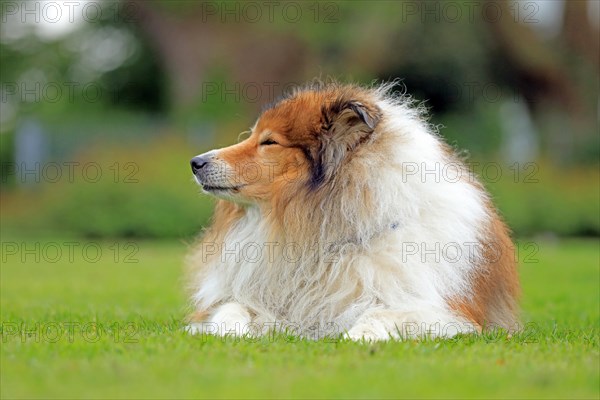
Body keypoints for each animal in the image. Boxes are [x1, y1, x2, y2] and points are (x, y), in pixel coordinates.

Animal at [185, 81, 516, 340]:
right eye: (253, 135)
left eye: (269, 142)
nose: (196, 162)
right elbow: (229, 307)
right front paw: (228, 331)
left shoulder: (445, 311)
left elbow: (383, 314)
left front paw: (358, 335)